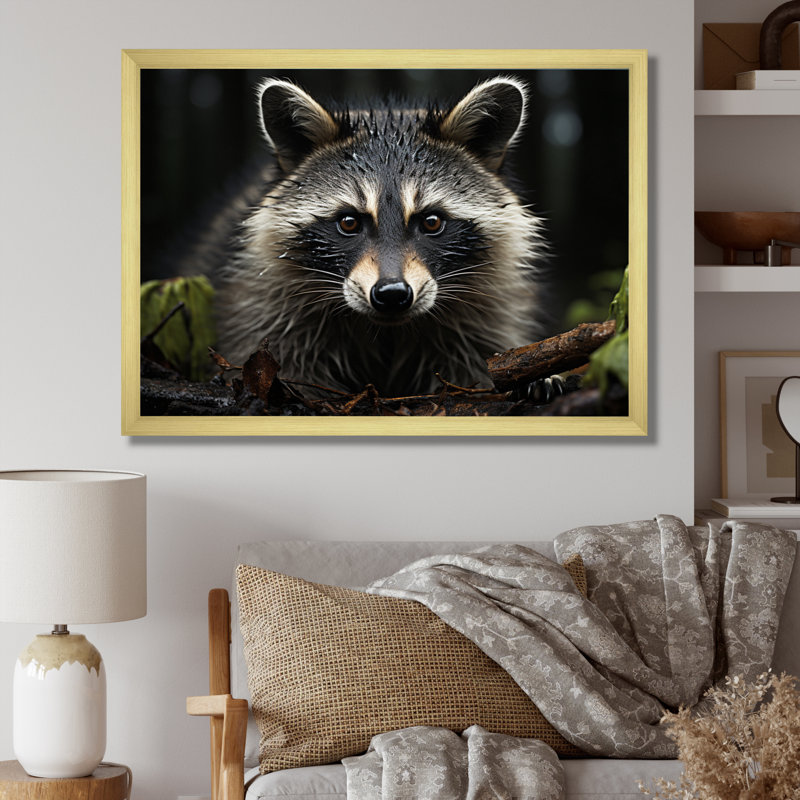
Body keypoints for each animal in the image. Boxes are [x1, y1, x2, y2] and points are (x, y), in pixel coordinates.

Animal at [195, 76, 545, 396]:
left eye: (432, 222)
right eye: (349, 223)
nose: (392, 294)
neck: (386, 331)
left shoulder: (487, 311)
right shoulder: (264, 305)